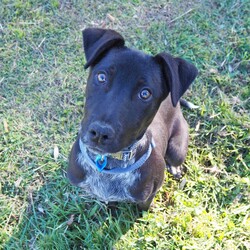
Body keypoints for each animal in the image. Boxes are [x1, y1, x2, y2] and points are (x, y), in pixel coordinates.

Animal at [67, 27, 198, 211]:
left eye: (145, 93)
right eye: (101, 77)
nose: (100, 133)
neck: (109, 163)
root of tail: (176, 104)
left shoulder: (147, 197)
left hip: (176, 149)